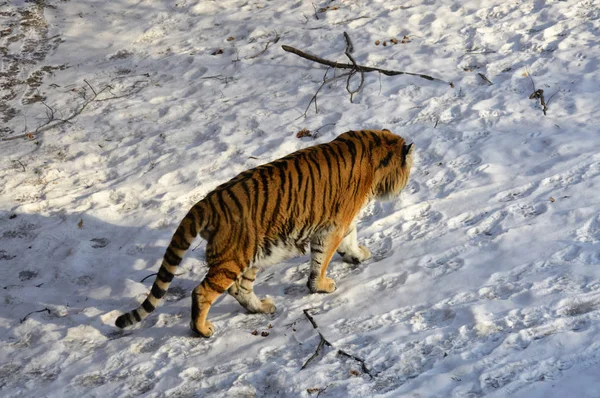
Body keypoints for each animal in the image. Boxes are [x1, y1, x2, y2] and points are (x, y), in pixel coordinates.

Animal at [117, 129, 418, 338]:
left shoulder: (342, 221)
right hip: (234, 257)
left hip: (254, 254)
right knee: (203, 291)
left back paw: (262, 307)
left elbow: (348, 240)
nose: (407, 182)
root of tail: (206, 201)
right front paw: (321, 285)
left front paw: (357, 255)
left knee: (239, 288)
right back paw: (202, 330)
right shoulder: (333, 225)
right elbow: (322, 258)